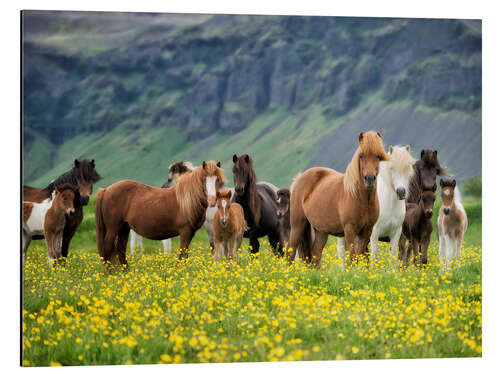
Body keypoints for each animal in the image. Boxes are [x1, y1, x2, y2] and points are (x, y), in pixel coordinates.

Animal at [94, 162, 227, 268]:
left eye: (217, 180)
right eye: (204, 179)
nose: (212, 200)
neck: (186, 199)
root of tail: (105, 190)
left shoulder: (191, 233)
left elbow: (185, 254)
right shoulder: (185, 231)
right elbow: (182, 254)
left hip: (124, 229)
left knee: (120, 250)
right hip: (113, 229)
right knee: (107, 248)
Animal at [290, 131, 390, 268]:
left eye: (378, 156)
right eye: (361, 156)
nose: (369, 179)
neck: (361, 199)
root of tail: (299, 178)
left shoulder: (366, 232)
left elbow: (359, 255)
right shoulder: (349, 230)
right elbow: (352, 257)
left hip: (321, 231)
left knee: (316, 254)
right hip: (297, 225)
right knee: (290, 252)